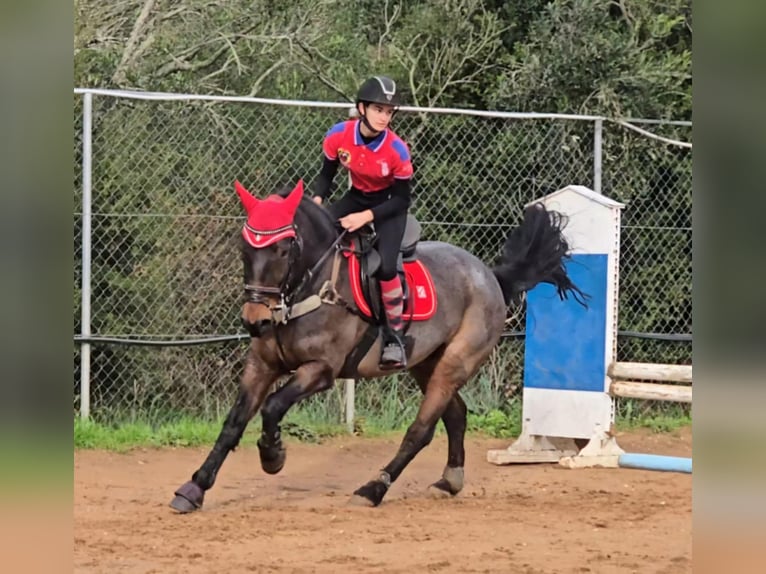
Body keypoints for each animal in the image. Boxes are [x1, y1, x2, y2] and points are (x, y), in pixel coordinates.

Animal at [170, 181, 588, 512]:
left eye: (284, 250)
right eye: (245, 247)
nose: (255, 320)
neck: (308, 288)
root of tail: (489, 275)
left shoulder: (320, 370)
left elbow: (272, 407)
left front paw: (273, 455)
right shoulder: (261, 365)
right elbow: (233, 423)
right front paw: (194, 487)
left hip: (455, 362)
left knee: (421, 429)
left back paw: (373, 489)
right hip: (426, 363)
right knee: (455, 415)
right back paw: (448, 480)